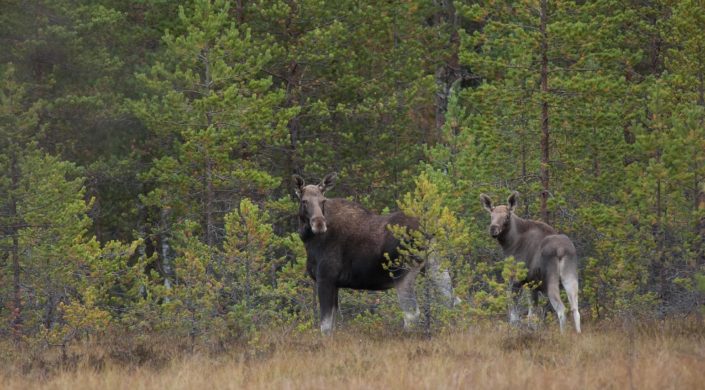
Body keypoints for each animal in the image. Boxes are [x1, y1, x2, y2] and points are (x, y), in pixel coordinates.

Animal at [292, 172, 456, 334]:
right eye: (304, 201)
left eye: (323, 201)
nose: (319, 224)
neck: (309, 241)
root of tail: (431, 230)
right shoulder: (335, 283)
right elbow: (332, 324)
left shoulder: (325, 278)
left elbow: (325, 326)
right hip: (436, 266)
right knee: (450, 301)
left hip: (403, 273)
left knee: (411, 313)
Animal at [478, 192, 584, 332]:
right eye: (491, 215)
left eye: (507, 216)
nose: (493, 229)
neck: (510, 243)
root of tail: (562, 251)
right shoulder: (531, 285)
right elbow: (531, 314)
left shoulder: (516, 280)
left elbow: (514, 315)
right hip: (570, 277)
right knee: (575, 310)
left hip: (551, 280)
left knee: (561, 309)